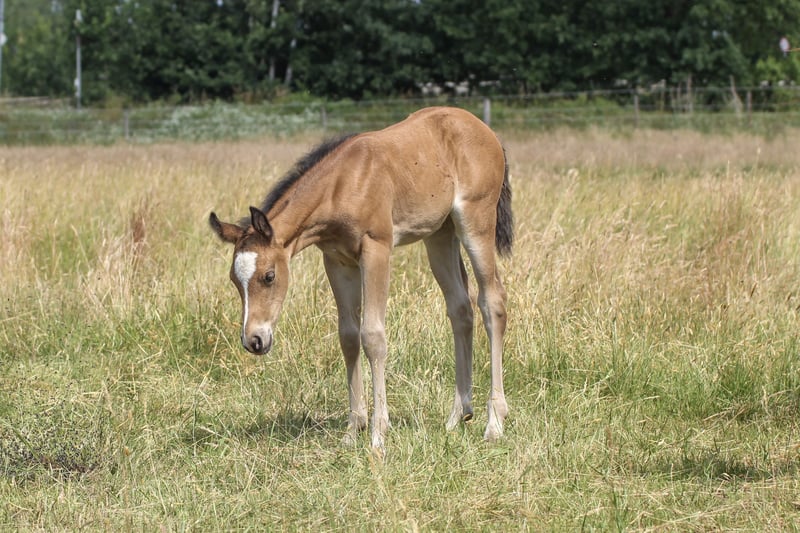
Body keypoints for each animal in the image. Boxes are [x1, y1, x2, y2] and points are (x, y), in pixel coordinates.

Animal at [209, 106, 513, 451]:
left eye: (269, 276)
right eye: (235, 281)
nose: (254, 340)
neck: (343, 184)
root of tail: (487, 132)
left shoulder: (376, 249)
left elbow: (373, 336)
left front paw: (379, 434)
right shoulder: (337, 261)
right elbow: (349, 337)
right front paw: (353, 430)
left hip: (476, 222)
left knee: (492, 302)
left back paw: (494, 423)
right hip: (439, 234)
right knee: (460, 308)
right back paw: (457, 415)